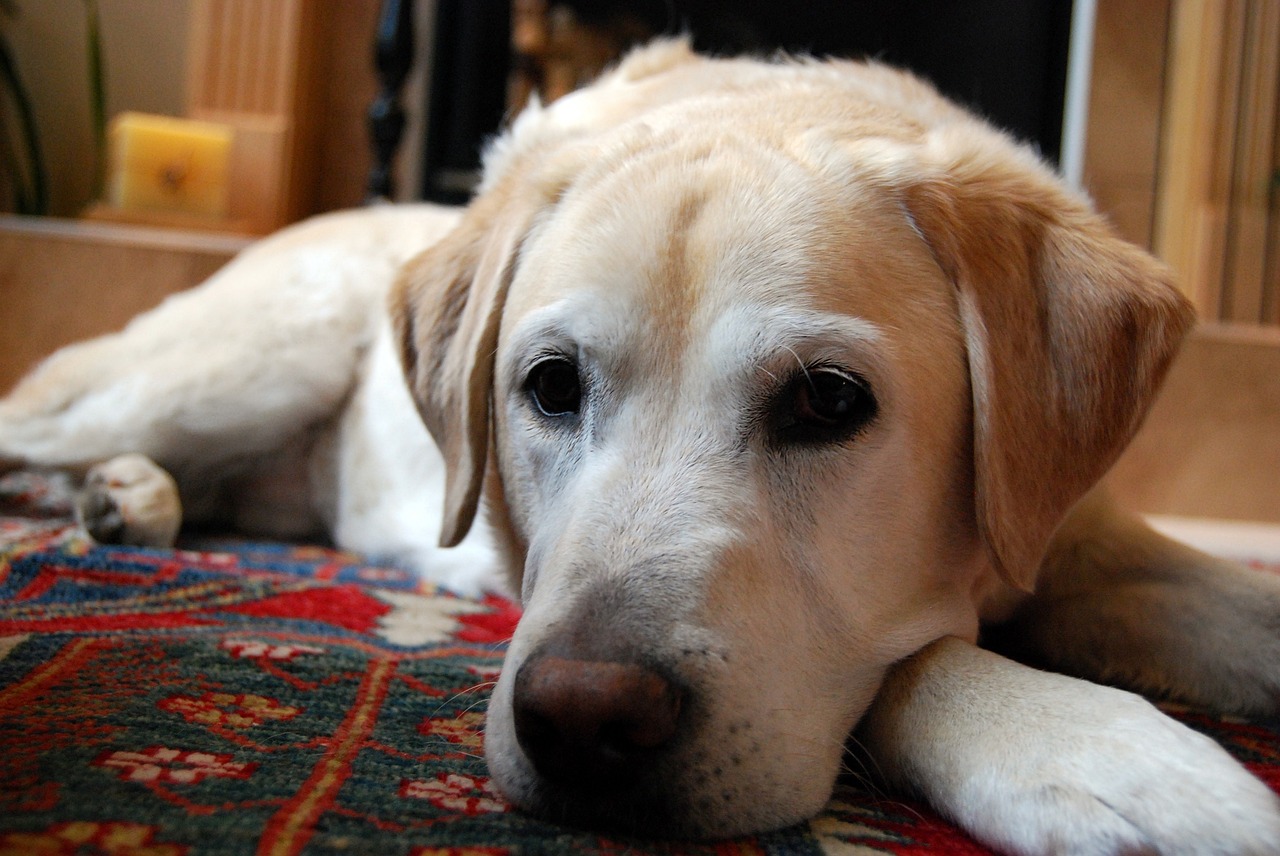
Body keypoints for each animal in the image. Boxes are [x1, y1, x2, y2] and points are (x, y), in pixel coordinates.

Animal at [2, 41, 1280, 854]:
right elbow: (915, 658)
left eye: (827, 401)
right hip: (241, 363)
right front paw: (1112, 755)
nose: (579, 721)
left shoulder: (1076, 533)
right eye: (549, 386)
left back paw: (129, 500)